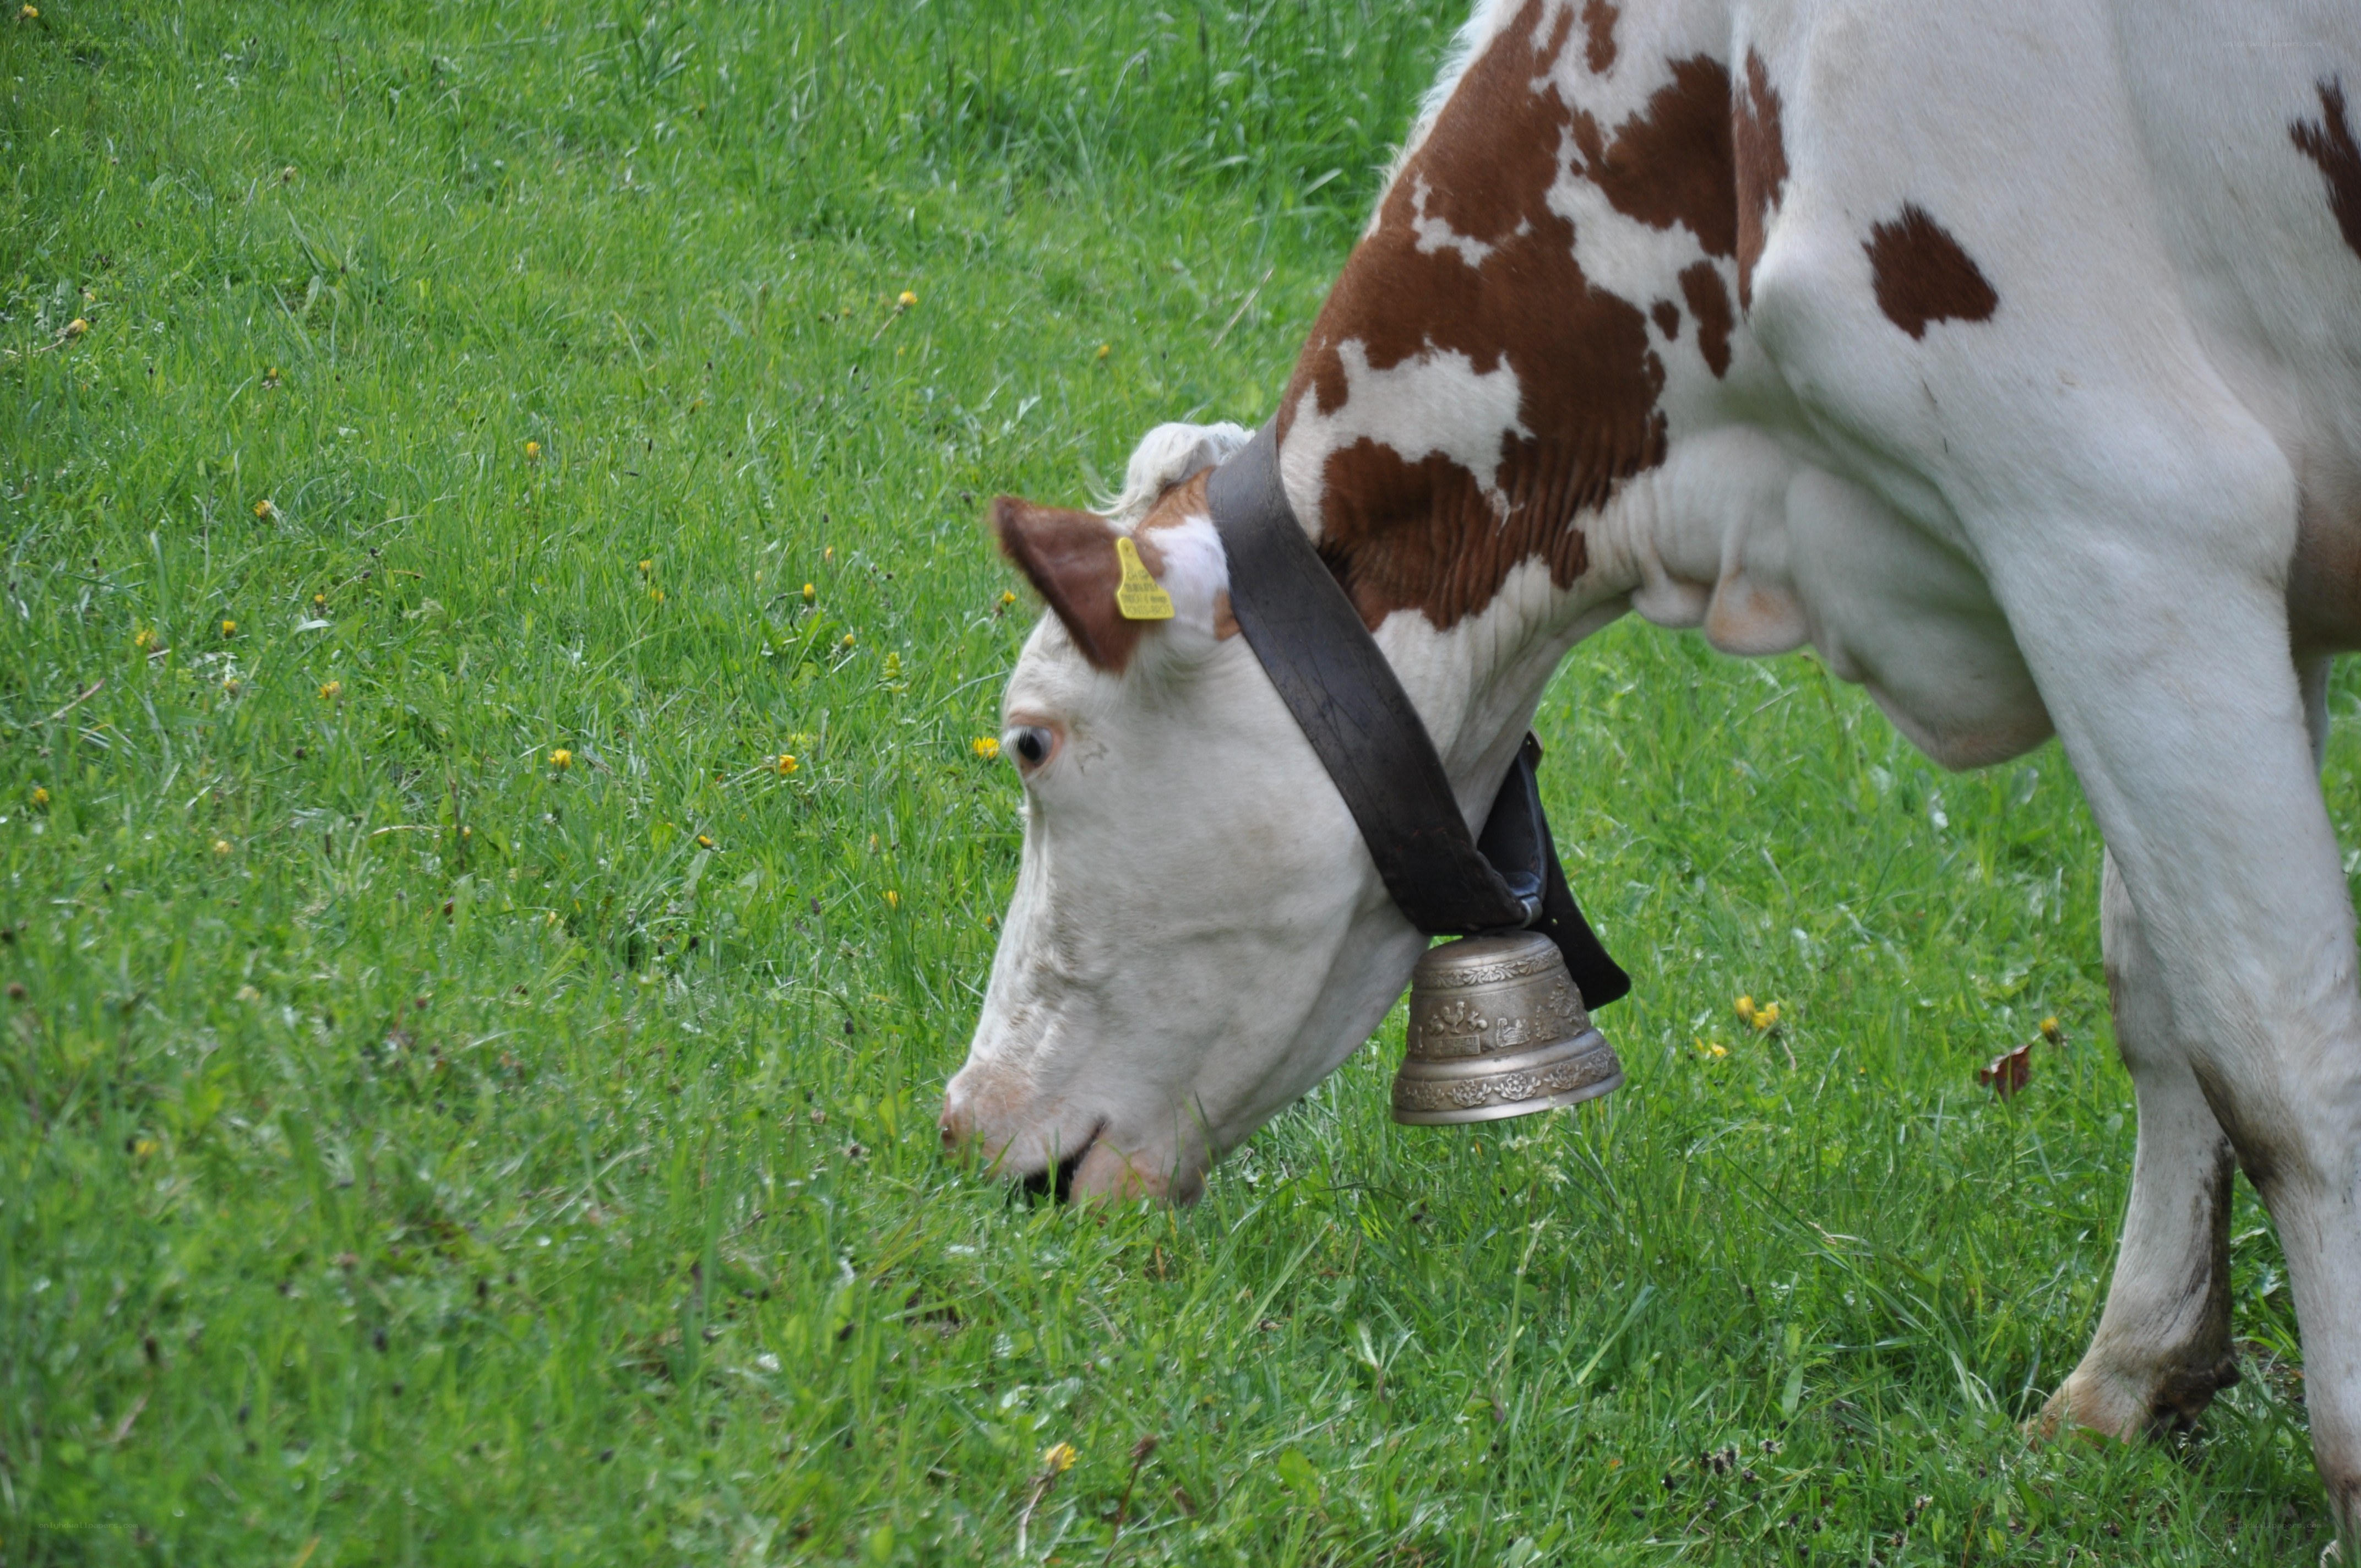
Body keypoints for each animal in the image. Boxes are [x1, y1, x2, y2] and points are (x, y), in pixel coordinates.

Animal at [943, 0, 2361, 1534]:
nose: (967, 1129)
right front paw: (2131, 1374)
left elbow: (2279, 1051)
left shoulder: (2120, 509)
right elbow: (2159, 997)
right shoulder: (2232, 585)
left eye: (1031, 739)